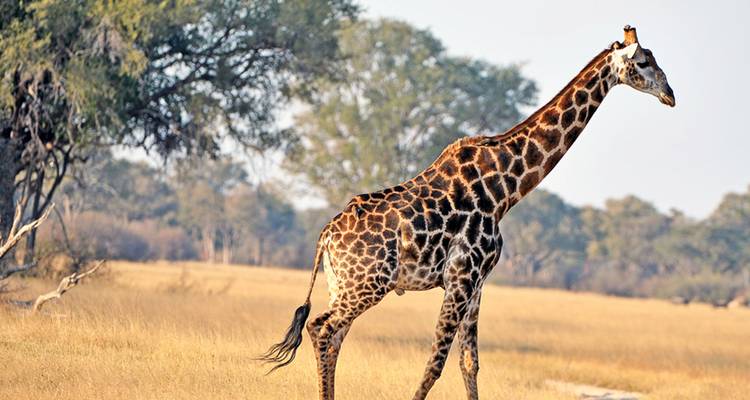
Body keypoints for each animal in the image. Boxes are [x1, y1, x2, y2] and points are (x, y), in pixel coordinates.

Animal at [259, 25, 675, 400]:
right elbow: (435, 364)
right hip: (368, 283)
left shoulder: (477, 283)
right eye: (643, 61)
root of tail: (326, 236)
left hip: (342, 283)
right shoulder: (461, 277)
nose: (670, 94)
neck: (506, 189)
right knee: (322, 329)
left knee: (333, 336)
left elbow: (468, 363)